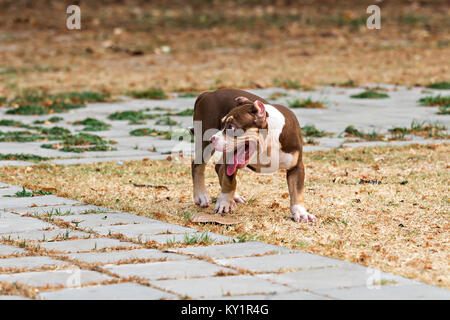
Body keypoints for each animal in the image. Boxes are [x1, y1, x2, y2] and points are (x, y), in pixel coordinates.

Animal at [191, 87, 316, 222]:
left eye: (231, 127)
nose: (213, 138)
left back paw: (234, 197)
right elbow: (229, 181)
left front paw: (301, 213)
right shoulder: (231, 158)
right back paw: (202, 196)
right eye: (222, 124)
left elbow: (297, 191)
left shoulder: (296, 167)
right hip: (204, 142)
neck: (268, 143)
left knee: (219, 167)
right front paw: (224, 203)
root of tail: (208, 93)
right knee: (198, 165)